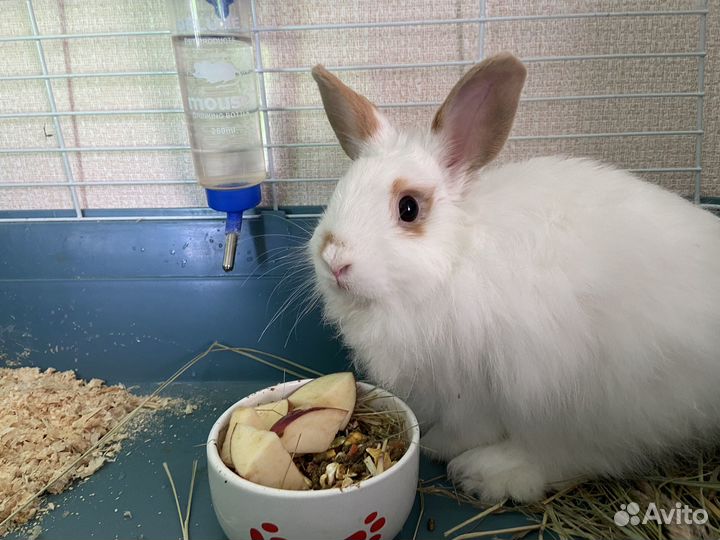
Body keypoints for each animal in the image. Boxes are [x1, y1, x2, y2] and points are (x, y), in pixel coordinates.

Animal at [307, 52, 720, 503]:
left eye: (409, 208)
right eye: (338, 192)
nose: (334, 259)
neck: (457, 258)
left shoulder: (473, 389)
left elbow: (464, 427)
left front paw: (435, 445)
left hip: (595, 402)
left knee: (584, 456)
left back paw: (486, 472)